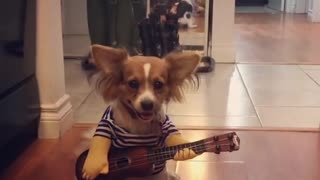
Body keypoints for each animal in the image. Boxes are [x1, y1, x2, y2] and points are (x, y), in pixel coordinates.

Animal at [78, 45, 200, 180]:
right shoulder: (106, 122)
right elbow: (101, 139)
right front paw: (93, 165)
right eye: (133, 83)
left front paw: (186, 150)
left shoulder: (166, 125)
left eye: (158, 84)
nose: (147, 104)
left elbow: (174, 137)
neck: (138, 121)